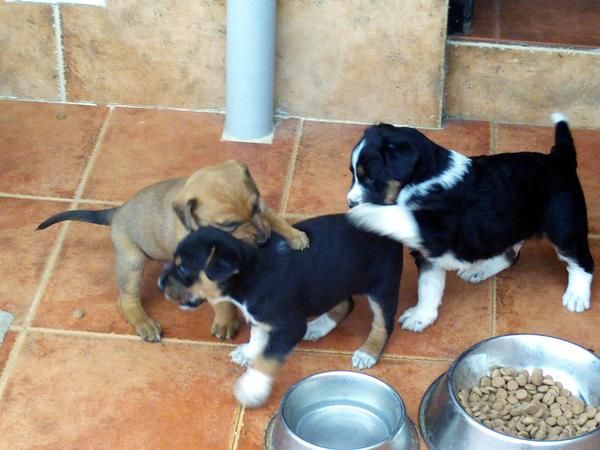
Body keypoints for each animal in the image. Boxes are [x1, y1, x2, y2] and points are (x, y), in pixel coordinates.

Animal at [36, 161, 310, 342]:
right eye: (228, 224)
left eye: (254, 207)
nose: (263, 241)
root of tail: (116, 212)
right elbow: (222, 303)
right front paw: (225, 322)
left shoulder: (262, 208)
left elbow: (272, 217)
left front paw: (294, 235)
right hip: (132, 260)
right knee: (126, 299)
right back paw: (145, 324)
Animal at [158, 214, 404, 408]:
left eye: (183, 269)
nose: (160, 284)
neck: (250, 273)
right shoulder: (259, 317)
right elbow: (257, 336)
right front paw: (248, 353)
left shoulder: (290, 326)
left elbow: (267, 359)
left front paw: (252, 388)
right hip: (337, 281)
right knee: (346, 303)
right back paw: (318, 326)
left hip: (383, 287)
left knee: (383, 324)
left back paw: (368, 352)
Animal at [346, 113, 596, 330]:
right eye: (353, 174)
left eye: (370, 178)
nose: (350, 203)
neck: (423, 177)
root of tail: (559, 158)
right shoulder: (428, 254)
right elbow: (428, 286)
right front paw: (421, 316)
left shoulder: (434, 230)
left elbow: (394, 215)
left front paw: (361, 215)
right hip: (510, 226)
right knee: (510, 254)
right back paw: (479, 270)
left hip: (564, 226)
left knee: (581, 261)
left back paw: (576, 296)